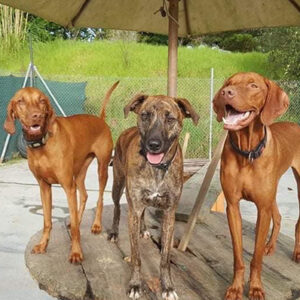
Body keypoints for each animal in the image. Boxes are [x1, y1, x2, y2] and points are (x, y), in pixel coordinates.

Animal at [3, 82, 118, 262]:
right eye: (20, 101)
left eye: (42, 101)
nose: (36, 116)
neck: (42, 143)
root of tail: (100, 119)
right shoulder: (44, 186)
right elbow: (47, 221)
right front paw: (43, 245)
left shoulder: (68, 186)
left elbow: (76, 230)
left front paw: (76, 252)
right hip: (79, 173)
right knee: (84, 195)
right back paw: (76, 218)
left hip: (102, 168)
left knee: (99, 198)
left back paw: (96, 225)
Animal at [108, 94, 199, 300]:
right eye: (145, 115)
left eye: (170, 118)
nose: (154, 144)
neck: (157, 168)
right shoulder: (133, 209)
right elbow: (136, 257)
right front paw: (135, 284)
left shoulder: (169, 213)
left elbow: (165, 258)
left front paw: (167, 286)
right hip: (118, 184)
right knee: (116, 208)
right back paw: (114, 232)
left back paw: (143, 230)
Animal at [212, 72, 300, 300]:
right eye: (229, 84)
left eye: (253, 85)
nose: (226, 92)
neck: (247, 152)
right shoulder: (233, 206)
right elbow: (238, 256)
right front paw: (235, 287)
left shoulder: (262, 208)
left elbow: (256, 258)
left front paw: (256, 287)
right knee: (278, 217)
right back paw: (270, 246)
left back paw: (296, 251)